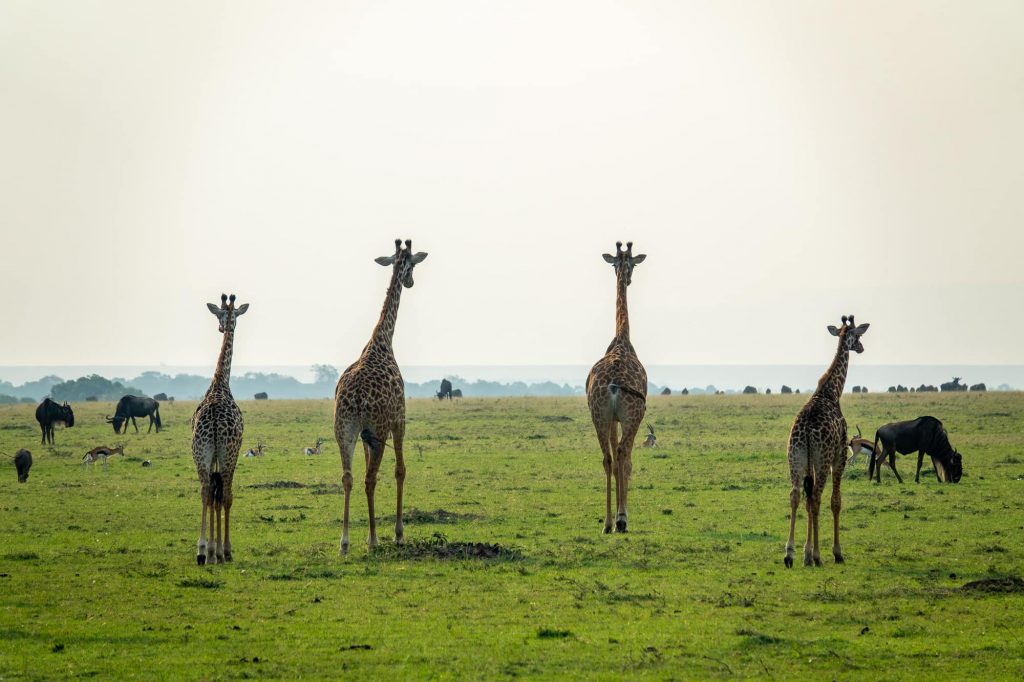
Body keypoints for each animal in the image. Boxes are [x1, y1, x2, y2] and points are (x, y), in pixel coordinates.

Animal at [333, 238, 425, 552]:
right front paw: (398, 533)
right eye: (412, 263)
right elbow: (401, 470)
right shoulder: (399, 420)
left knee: (350, 477)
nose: (410, 281)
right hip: (378, 428)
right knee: (370, 478)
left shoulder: (363, 433)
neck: (382, 340)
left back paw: (345, 542)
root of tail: (357, 399)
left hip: (344, 429)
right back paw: (373, 541)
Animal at [786, 311, 868, 565]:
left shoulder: (810, 461)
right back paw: (816, 556)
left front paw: (806, 551)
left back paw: (790, 554)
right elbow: (835, 501)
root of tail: (805, 431)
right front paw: (836, 552)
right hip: (822, 460)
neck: (832, 392)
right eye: (857, 335)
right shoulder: (839, 456)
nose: (861, 348)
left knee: (797, 495)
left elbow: (808, 499)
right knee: (816, 497)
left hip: (796, 457)